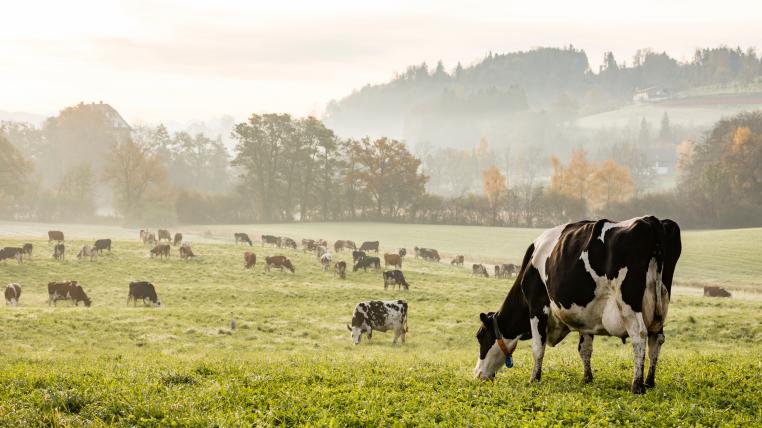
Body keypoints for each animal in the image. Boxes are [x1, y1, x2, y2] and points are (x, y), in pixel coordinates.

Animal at [474, 216, 681, 395]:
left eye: (480, 336)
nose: (477, 374)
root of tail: (650, 220)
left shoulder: (537, 306)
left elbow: (538, 347)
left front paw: (534, 378)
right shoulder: (586, 315)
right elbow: (585, 349)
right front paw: (587, 378)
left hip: (628, 303)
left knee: (639, 336)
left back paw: (637, 385)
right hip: (660, 305)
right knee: (656, 339)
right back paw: (650, 381)